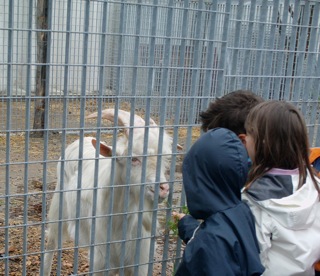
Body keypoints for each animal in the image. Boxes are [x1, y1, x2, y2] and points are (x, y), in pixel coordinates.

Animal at [42, 109, 179, 276]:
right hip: (58, 207)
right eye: (133, 159)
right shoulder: (101, 262)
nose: (163, 189)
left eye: (164, 159)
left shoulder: (139, 262)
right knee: (52, 243)